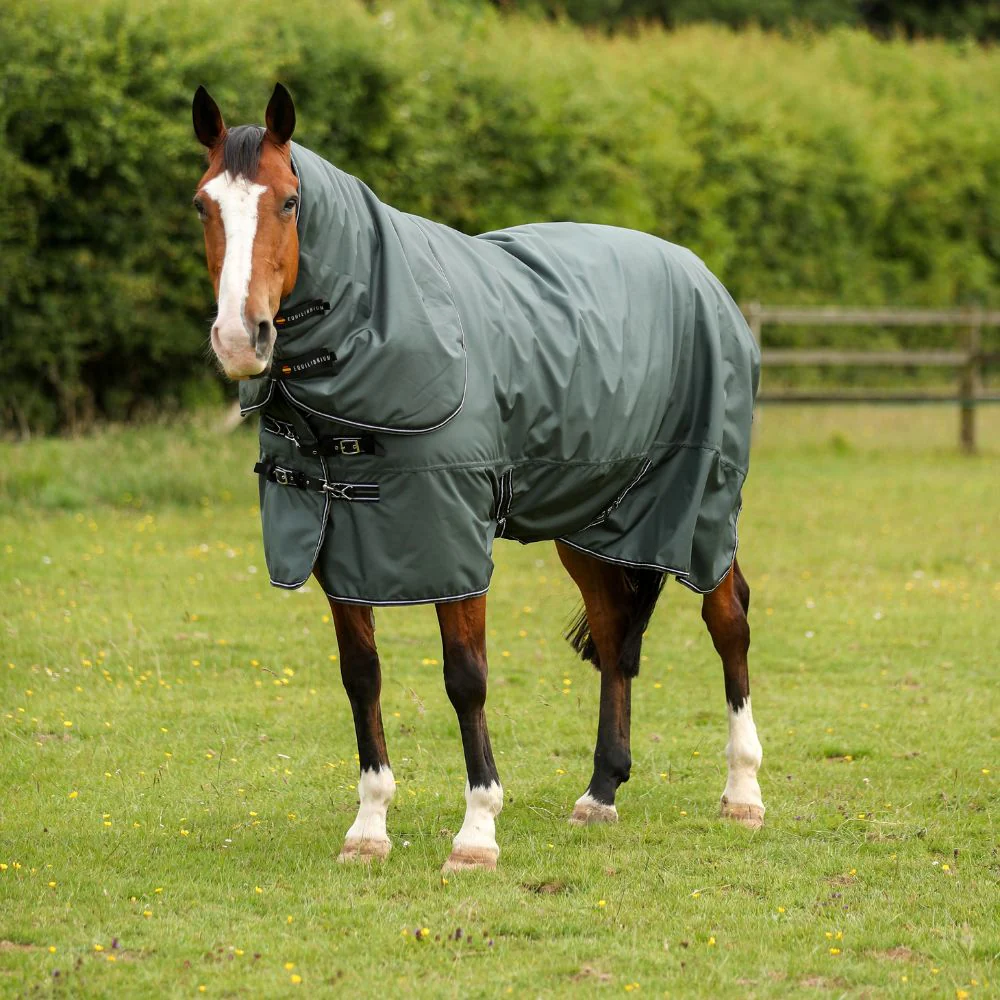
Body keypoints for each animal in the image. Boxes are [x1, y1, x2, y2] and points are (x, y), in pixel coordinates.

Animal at [191, 83, 765, 872]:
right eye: (203, 204)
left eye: (288, 202)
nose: (240, 338)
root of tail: (702, 276)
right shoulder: (345, 546)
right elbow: (360, 677)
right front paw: (369, 827)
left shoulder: (452, 539)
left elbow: (465, 678)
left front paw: (477, 832)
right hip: (592, 524)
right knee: (615, 633)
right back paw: (601, 792)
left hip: (704, 504)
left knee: (728, 619)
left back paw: (743, 791)